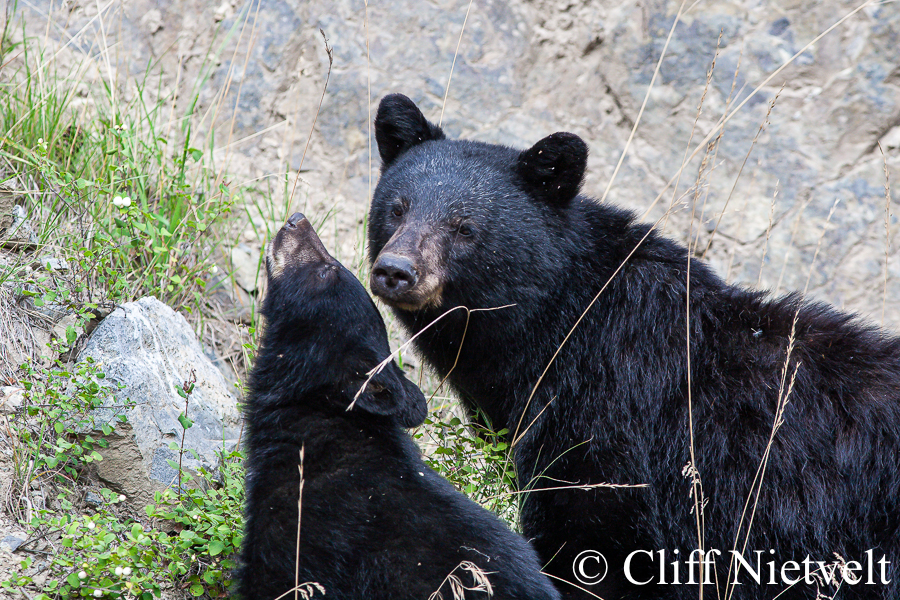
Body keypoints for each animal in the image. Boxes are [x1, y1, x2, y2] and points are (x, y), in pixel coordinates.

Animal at [366, 93, 900, 600]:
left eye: (464, 227)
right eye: (397, 208)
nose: (396, 270)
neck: (559, 329)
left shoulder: (612, 423)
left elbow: (593, 539)